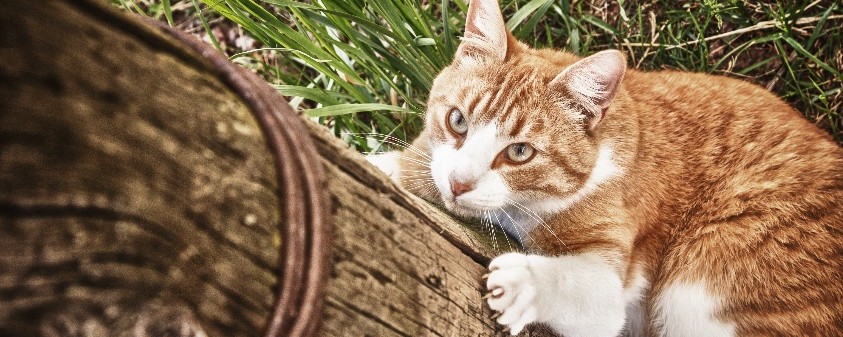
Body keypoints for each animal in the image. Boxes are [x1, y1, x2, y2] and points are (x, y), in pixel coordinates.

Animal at [364, 1, 843, 334]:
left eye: (519, 153)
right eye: (457, 121)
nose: (459, 184)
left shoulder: (611, 277)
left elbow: (584, 290)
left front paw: (524, 284)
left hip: (706, 275)